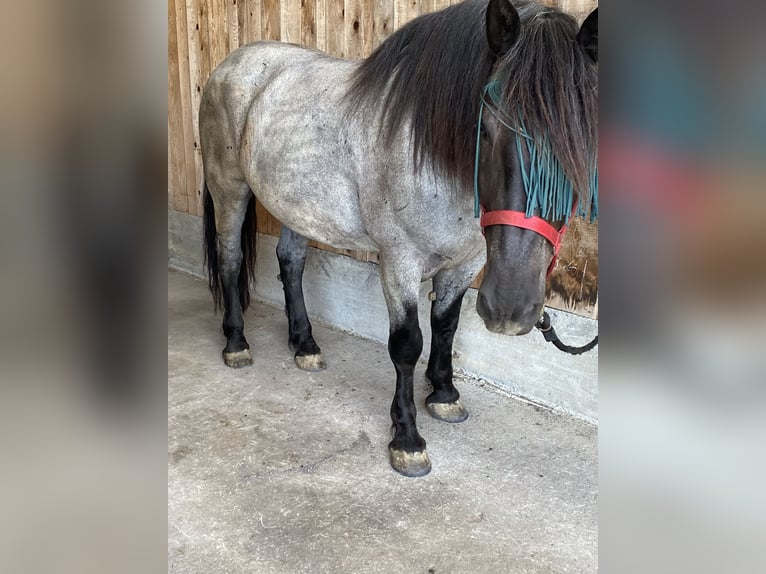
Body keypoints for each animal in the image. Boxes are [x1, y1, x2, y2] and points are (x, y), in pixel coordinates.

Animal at [200, 0, 600, 476]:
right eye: (484, 128)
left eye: (584, 139)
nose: (510, 309)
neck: (427, 153)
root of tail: (230, 65)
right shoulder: (399, 261)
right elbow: (407, 345)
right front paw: (407, 439)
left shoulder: (466, 262)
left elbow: (445, 326)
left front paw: (444, 395)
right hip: (230, 190)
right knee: (229, 261)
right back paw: (236, 344)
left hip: (296, 204)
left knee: (290, 263)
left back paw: (305, 345)